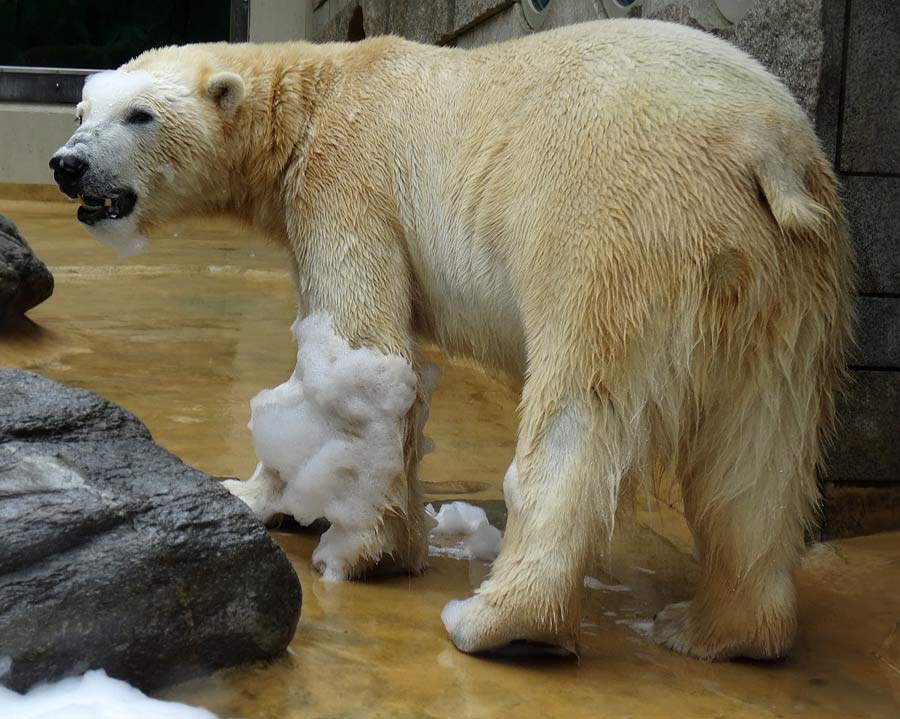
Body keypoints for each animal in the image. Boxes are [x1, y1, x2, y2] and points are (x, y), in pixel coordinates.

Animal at [49, 19, 852, 660]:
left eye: (140, 114)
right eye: (83, 108)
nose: (67, 163)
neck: (315, 92)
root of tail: (763, 148)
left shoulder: (347, 179)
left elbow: (358, 353)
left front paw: (337, 537)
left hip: (617, 229)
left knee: (581, 414)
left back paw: (497, 620)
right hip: (787, 277)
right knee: (759, 451)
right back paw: (716, 630)